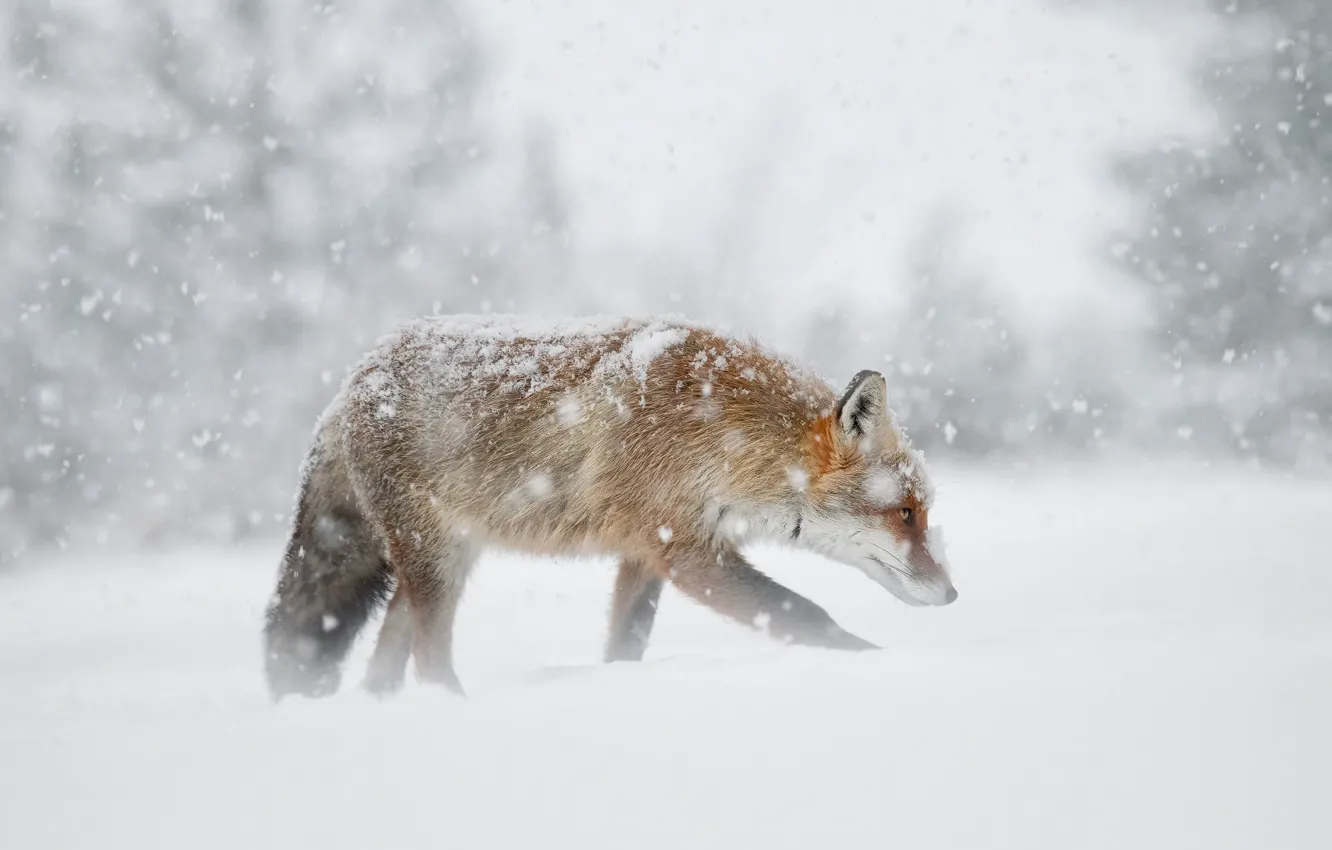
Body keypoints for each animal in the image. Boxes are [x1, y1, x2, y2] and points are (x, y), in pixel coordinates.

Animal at [262, 314, 957, 699]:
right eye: (906, 514)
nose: (952, 594)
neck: (720, 429)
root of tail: (353, 378)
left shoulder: (644, 551)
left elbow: (626, 647)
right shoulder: (683, 550)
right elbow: (809, 616)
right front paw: (878, 664)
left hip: (441, 566)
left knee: (385, 670)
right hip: (433, 565)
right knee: (429, 663)